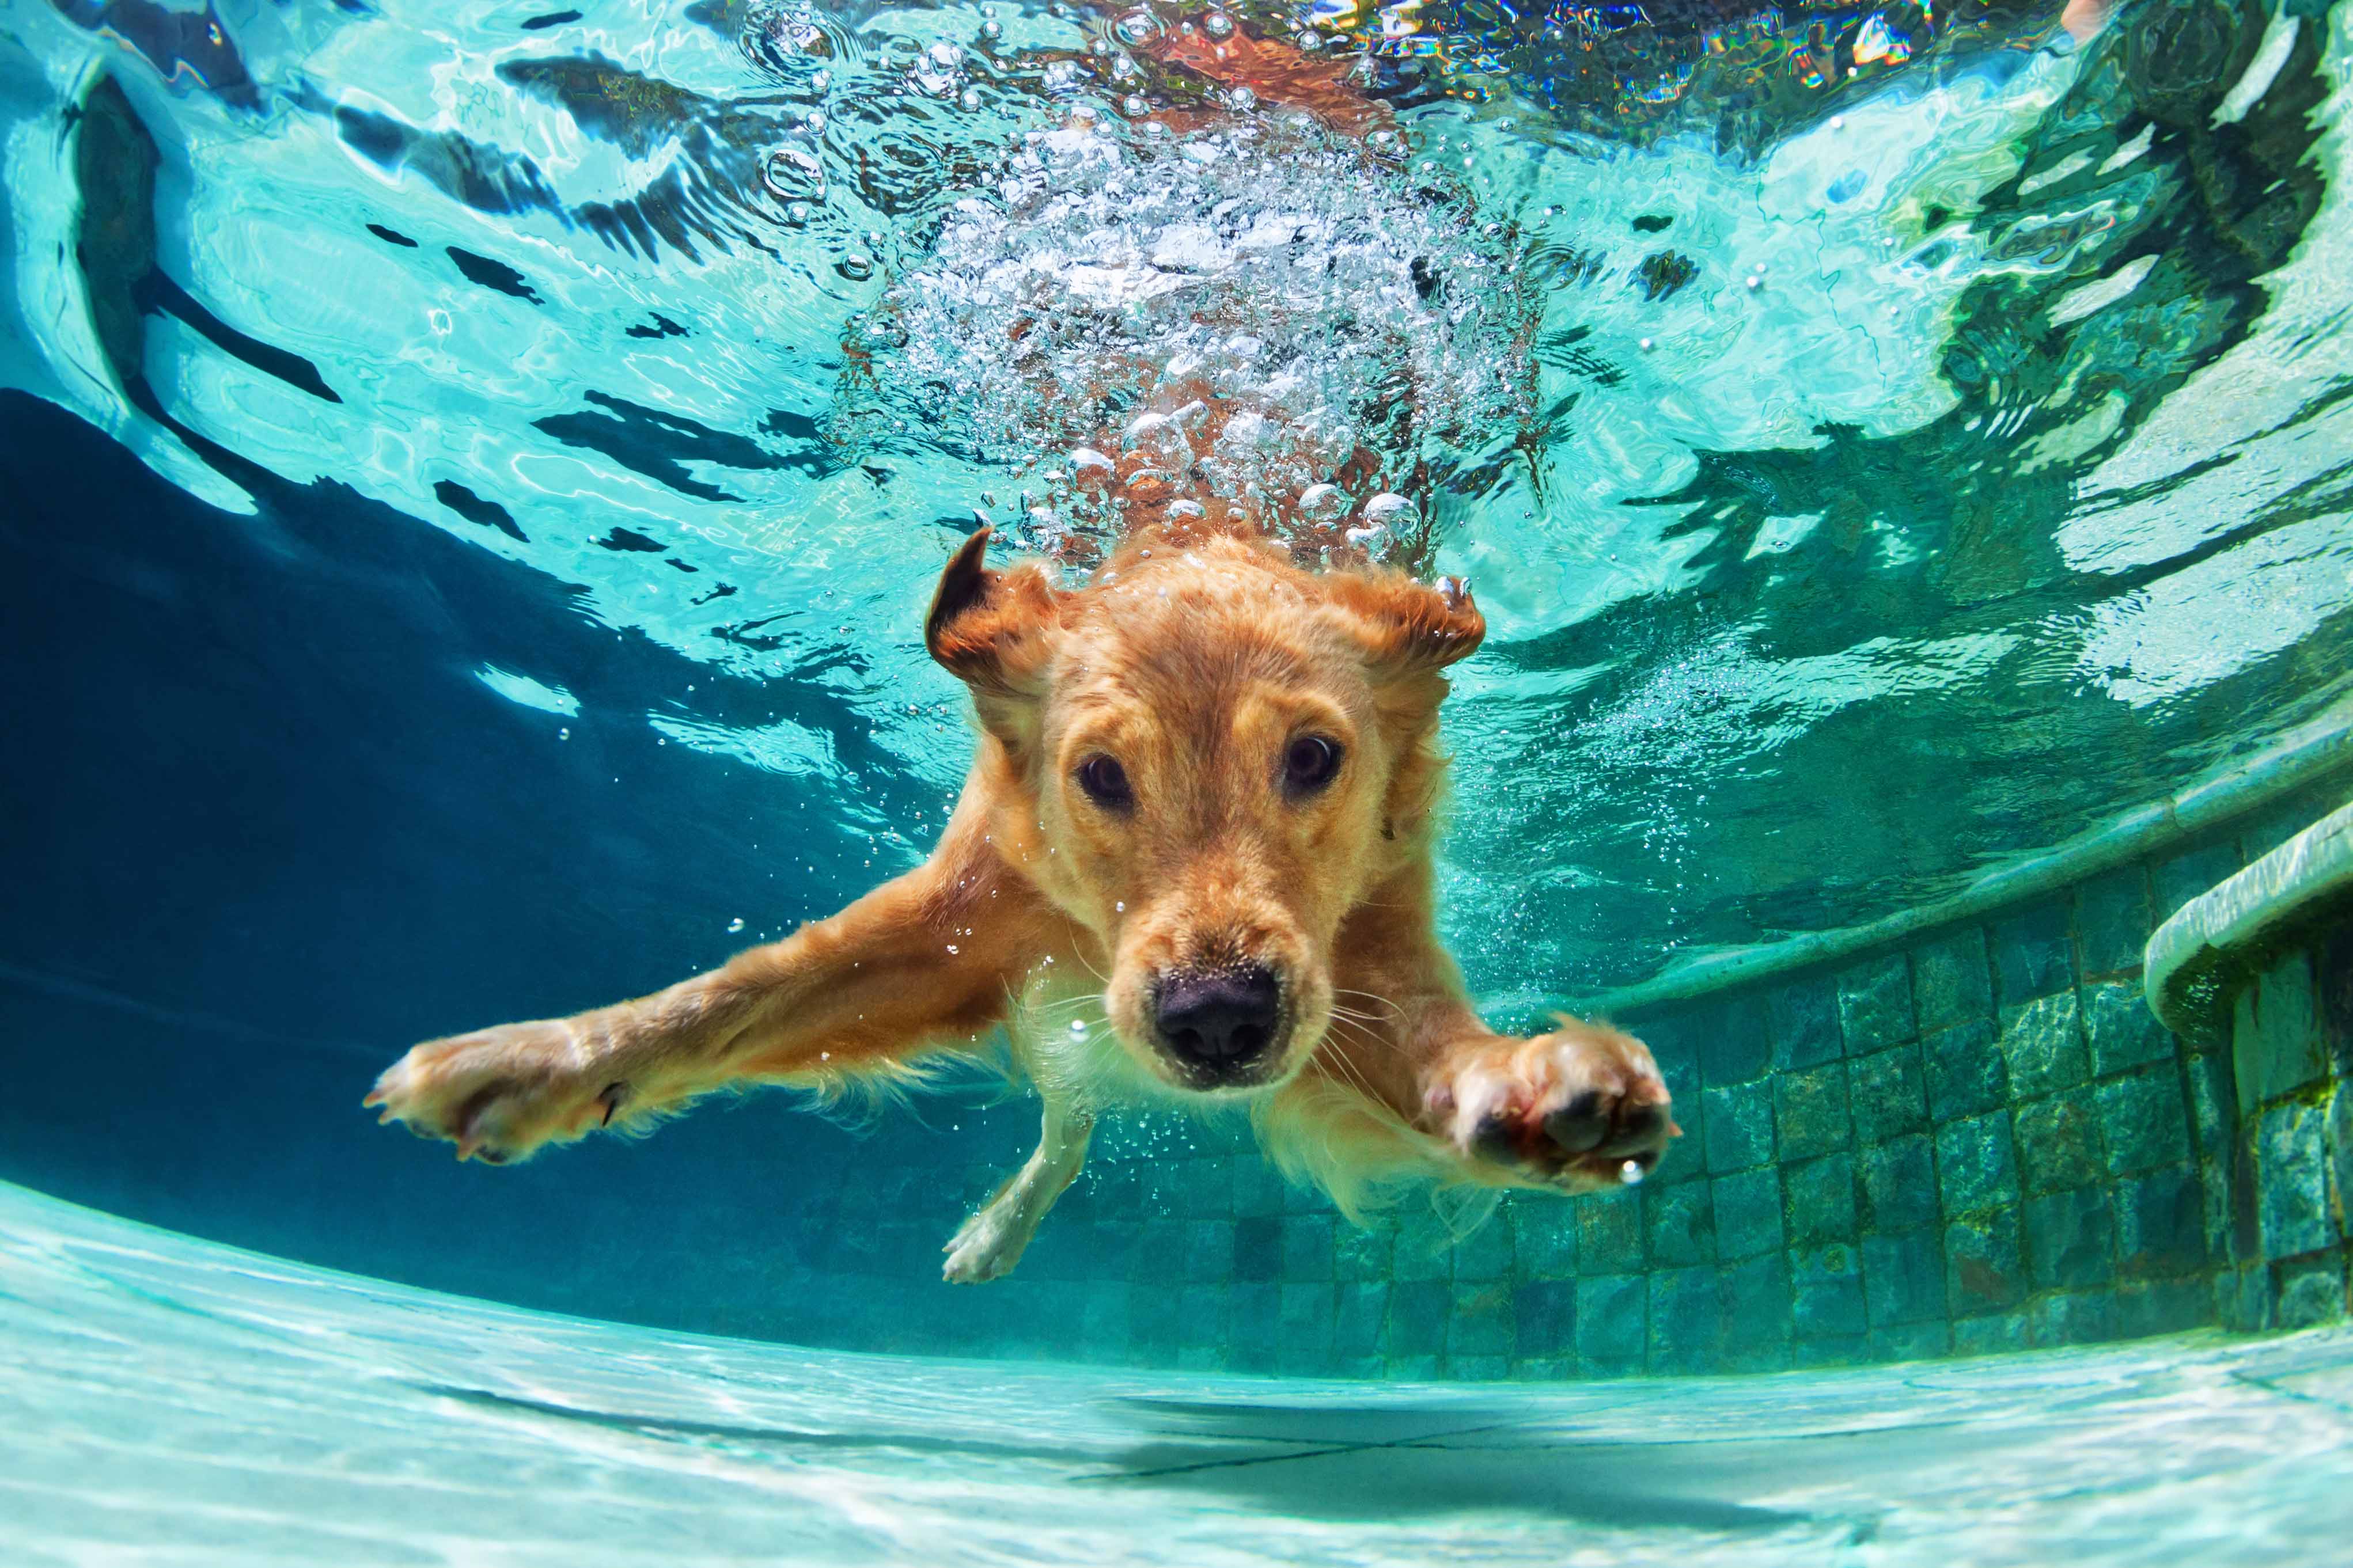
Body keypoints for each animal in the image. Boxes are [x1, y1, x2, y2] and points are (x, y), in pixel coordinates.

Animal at [372, 512, 1675, 1278]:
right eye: (1098, 774)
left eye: (1313, 757)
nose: (1216, 1019)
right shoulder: (954, 924)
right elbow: (732, 994)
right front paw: (534, 1061)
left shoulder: (1362, 962)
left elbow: (1437, 1051)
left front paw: (1533, 1087)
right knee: (1066, 1123)